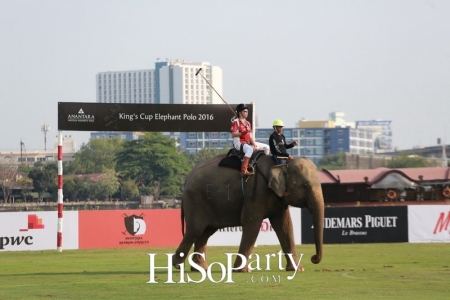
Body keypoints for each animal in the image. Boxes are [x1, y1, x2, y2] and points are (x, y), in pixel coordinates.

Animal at [172, 154, 324, 274]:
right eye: (305, 186)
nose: (313, 258)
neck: (280, 163)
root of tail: (187, 178)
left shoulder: (278, 198)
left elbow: (285, 226)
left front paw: (298, 269)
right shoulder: (256, 192)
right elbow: (252, 223)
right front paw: (243, 270)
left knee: (205, 232)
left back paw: (201, 268)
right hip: (196, 200)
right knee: (195, 230)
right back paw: (177, 265)